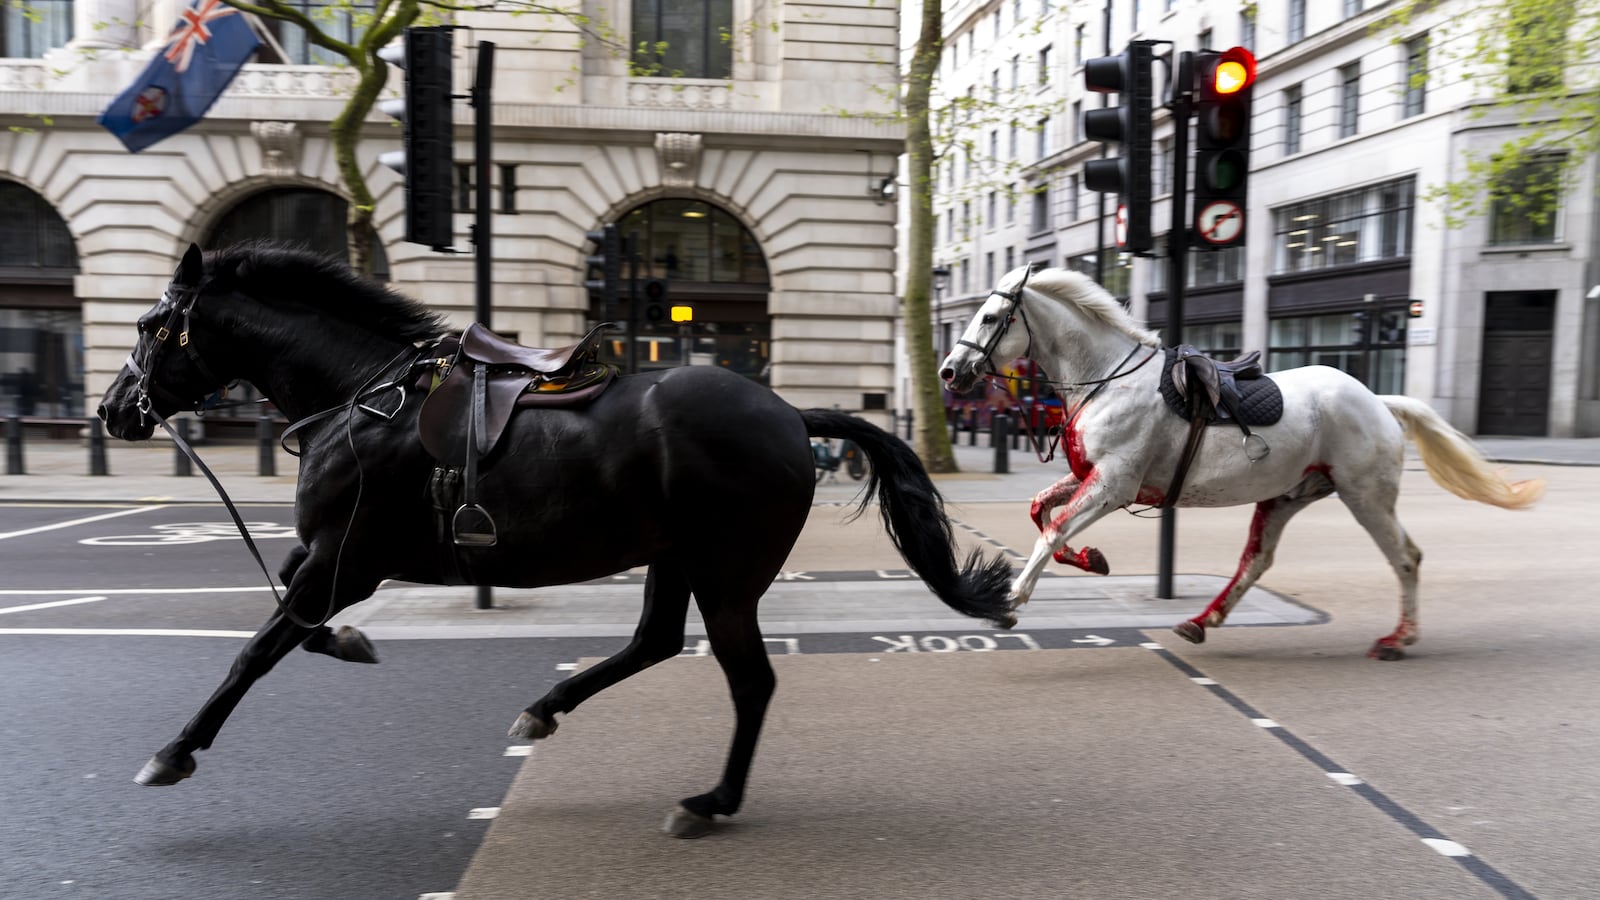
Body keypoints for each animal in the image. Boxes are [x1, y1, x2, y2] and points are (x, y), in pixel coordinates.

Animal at [97, 242, 1014, 837]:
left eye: (149, 324)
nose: (111, 411)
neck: (363, 397)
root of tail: (791, 414)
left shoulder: (346, 559)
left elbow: (257, 649)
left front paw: (174, 751)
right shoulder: (329, 558)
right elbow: (292, 619)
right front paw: (353, 643)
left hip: (726, 573)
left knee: (749, 680)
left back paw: (710, 801)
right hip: (675, 557)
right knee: (654, 642)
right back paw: (547, 709)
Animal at [939, 265, 1544, 660]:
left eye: (990, 317)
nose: (948, 372)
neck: (1107, 379)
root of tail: (1377, 399)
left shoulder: (1114, 484)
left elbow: (1053, 529)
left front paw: (1010, 600)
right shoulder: (1093, 477)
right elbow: (1042, 511)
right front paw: (1092, 559)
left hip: (1365, 496)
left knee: (1406, 558)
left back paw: (1399, 638)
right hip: (1286, 496)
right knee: (1257, 561)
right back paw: (1201, 621)